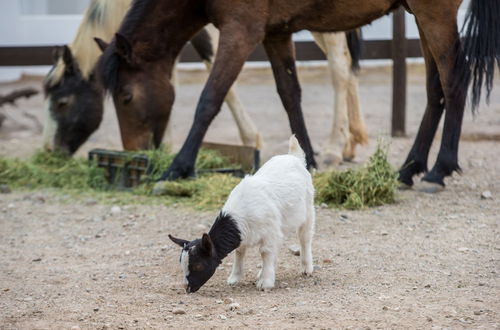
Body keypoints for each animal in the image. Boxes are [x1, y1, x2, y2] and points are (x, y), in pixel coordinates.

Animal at [98, 0, 500, 187]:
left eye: (126, 97)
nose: (131, 152)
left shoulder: (240, 32)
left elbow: (209, 100)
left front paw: (178, 167)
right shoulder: (275, 33)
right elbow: (290, 96)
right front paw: (308, 160)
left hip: (434, 13)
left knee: (454, 80)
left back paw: (439, 169)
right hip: (419, 14)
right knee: (435, 89)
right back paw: (410, 167)